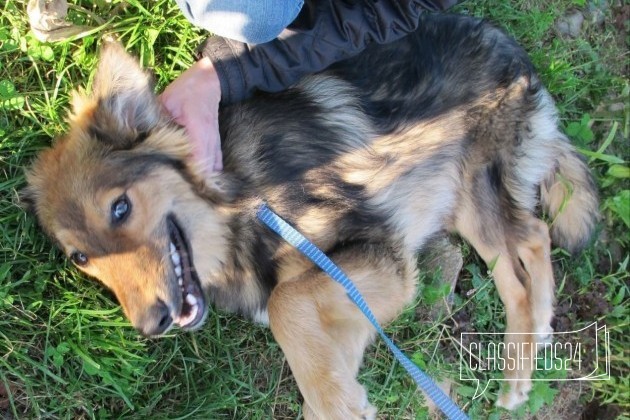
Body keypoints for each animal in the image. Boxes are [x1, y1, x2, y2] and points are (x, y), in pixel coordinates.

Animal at [22, 13, 600, 420]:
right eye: (79, 257)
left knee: (533, 235)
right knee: (520, 258)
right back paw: (527, 355)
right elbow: (316, 354)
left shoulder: (374, 252)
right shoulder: (364, 299)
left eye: (120, 207)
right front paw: (339, 400)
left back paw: (524, 362)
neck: (234, 199)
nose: (152, 326)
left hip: (479, 180)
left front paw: (336, 401)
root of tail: (508, 44)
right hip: (463, 204)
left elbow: (285, 302)